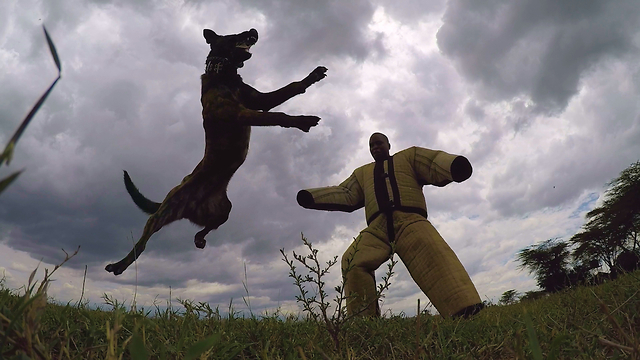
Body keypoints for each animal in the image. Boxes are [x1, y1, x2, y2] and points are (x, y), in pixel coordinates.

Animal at [107, 28, 328, 276]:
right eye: (234, 35)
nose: (254, 30)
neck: (222, 73)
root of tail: (189, 206)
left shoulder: (260, 100)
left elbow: (291, 87)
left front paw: (312, 76)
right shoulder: (243, 113)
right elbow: (278, 115)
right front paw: (303, 121)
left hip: (224, 210)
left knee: (206, 228)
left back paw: (199, 238)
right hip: (162, 214)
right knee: (142, 243)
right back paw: (119, 264)